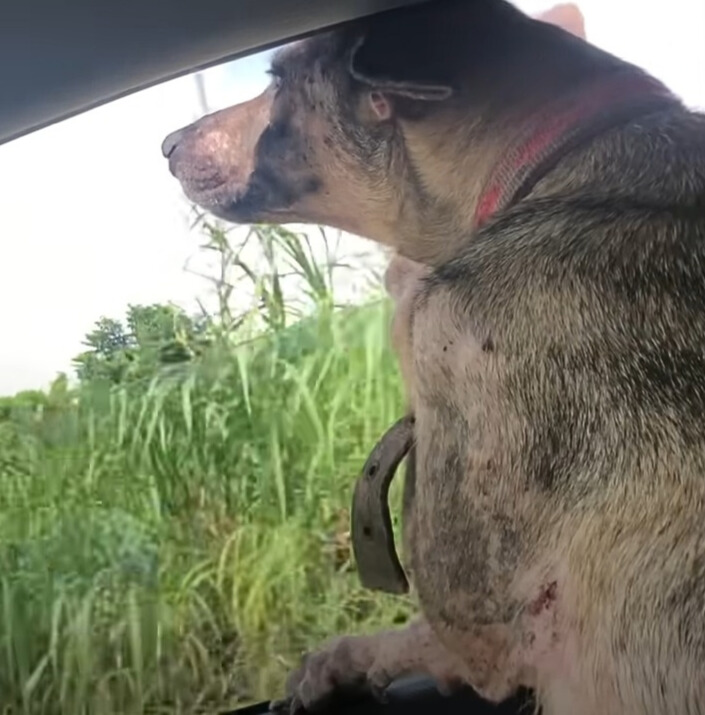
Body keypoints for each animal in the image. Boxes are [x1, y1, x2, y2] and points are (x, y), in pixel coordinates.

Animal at [164, 1, 705, 715]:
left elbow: (424, 635)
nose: (166, 146)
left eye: (277, 81)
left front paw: (330, 665)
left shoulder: (483, 628)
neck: (556, 162)